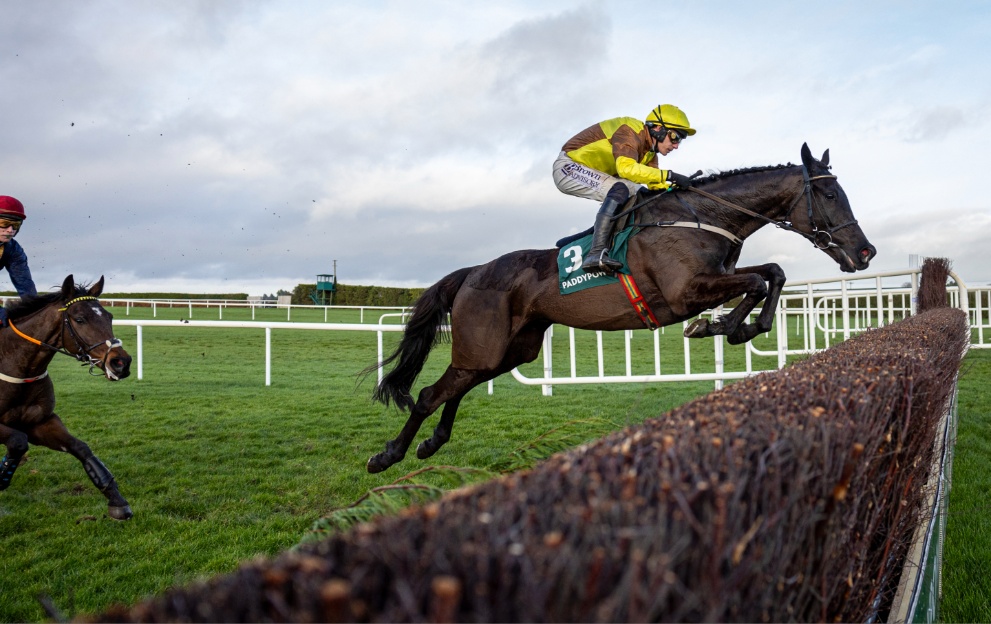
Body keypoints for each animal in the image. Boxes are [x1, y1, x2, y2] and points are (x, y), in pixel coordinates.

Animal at [0, 276, 134, 520]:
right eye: (79, 319)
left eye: (109, 316)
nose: (121, 363)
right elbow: (17, 441)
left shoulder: (40, 422)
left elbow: (81, 448)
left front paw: (117, 501)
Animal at [364, 143, 876, 472]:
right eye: (830, 194)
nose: (866, 252)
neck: (701, 218)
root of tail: (472, 271)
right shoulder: (684, 292)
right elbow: (756, 279)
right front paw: (720, 327)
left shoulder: (714, 278)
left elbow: (772, 273)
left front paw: (735, 327)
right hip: (487, 345)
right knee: (429, 394)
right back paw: (387, 455)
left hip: (510, 351)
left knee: (454, 389)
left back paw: (431, 443)